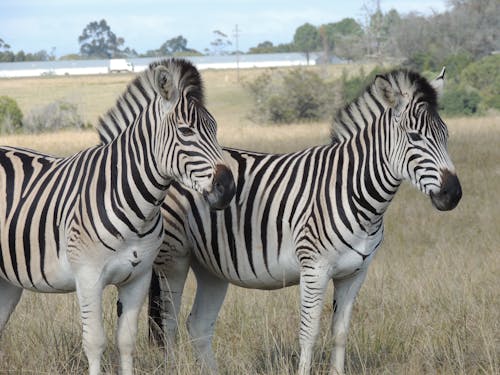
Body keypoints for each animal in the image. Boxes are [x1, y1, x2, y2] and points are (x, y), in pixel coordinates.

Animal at [0, 58, 235, 375]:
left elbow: (125, 341)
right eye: (186, 131)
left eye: (215, 128)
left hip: (7, 279)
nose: (228, 188)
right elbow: (95, 342)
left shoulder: (138, 277)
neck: (134, 204)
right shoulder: (87, 277)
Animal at [146, 67, 462, 374]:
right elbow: (308, 334)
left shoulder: (355, 273)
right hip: (174, 257)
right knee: (168, 325)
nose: (454, 194)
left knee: (198, 325)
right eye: (415, 137)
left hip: (211, 266)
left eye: (446, 134)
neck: (354, 192)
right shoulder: (315, 269)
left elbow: (340, 333)